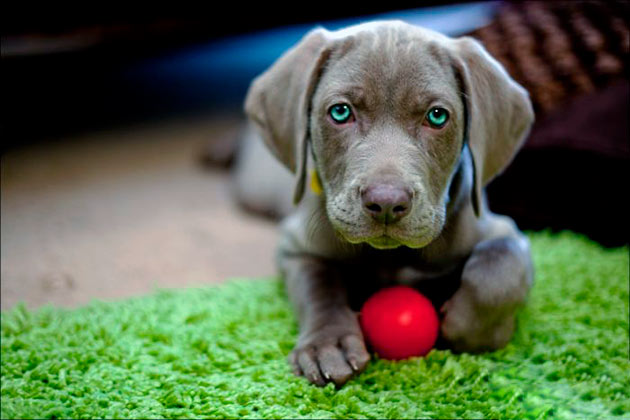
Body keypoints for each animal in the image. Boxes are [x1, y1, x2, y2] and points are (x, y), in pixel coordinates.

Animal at [235, 19, 536, 388]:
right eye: (340, 112)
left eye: (437, 116)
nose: (387, 203)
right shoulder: (296, 246)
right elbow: (317, 285)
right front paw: (327, 345)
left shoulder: (502, 231)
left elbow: (497, 272)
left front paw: (473, 329)